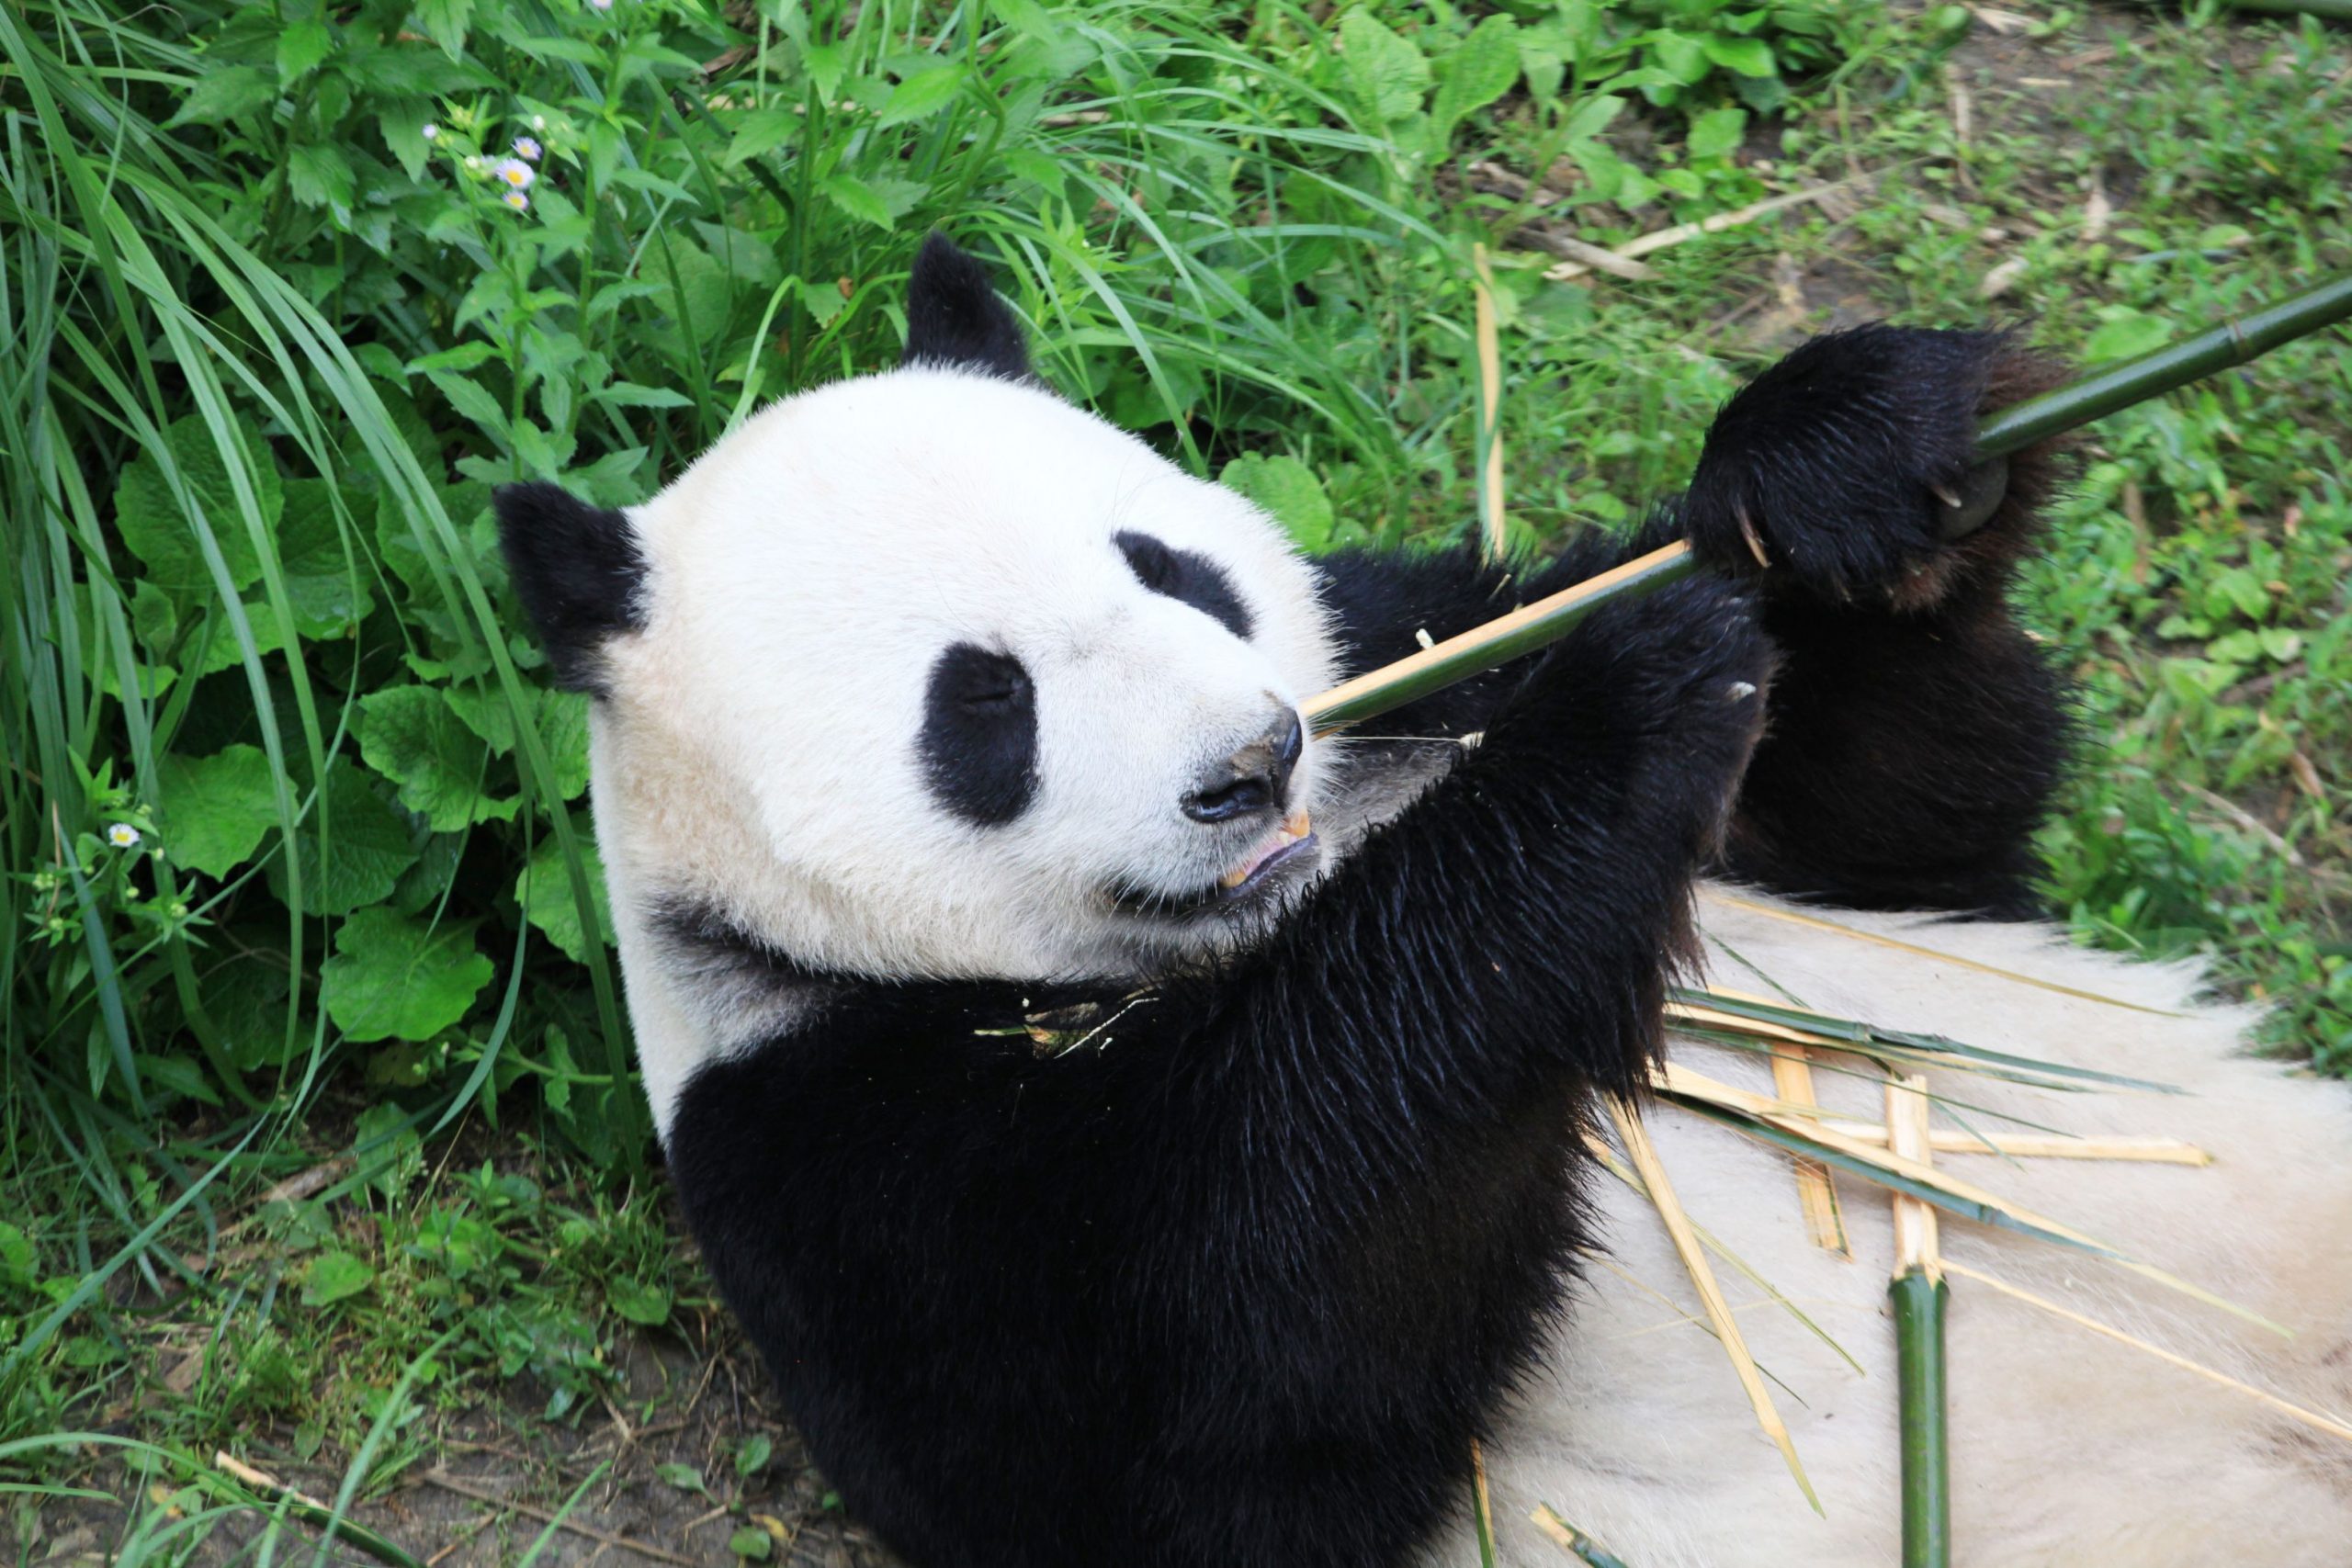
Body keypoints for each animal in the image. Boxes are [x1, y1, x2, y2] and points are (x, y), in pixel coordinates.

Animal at [496, 235, 2352, 1568]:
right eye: (985, 705)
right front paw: (1620, 707)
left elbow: (1919, 830)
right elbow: (1258, 1349)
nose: (1250, 764)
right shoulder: (850, 1158)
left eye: (1167, 568)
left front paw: (1847, 464)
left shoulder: (1411, 654)